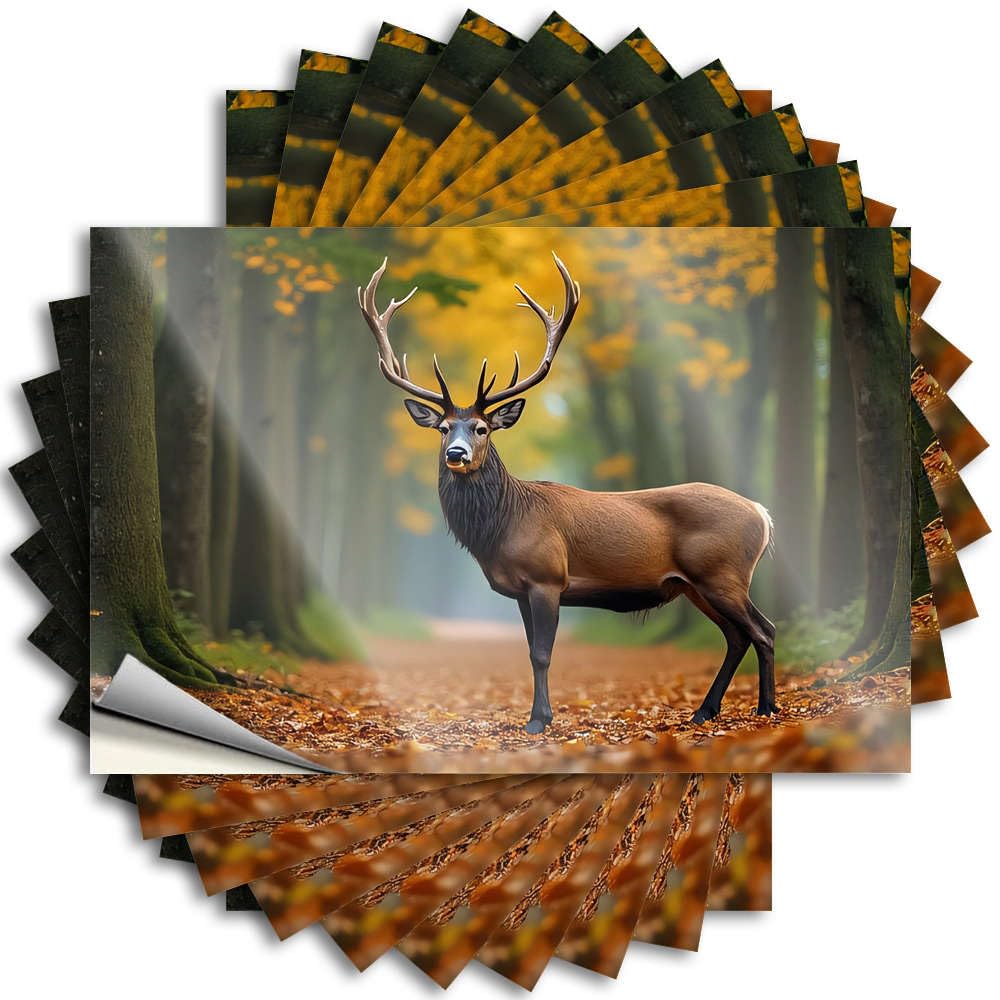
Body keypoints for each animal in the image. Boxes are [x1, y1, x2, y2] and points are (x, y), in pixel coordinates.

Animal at [358, 254, 777, 734]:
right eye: (443, 428)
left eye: (481, 428)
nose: (456, 454)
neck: (500, 529)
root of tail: (762, 514)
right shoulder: (521, 590)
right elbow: (529, 653)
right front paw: (540, 715)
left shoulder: (547, 577)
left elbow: (542, 653)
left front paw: (538, 721)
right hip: (696, 585)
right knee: (737, 635)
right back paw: (705, 710)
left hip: (723, 573)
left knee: (763, 630)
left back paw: (766, 708)